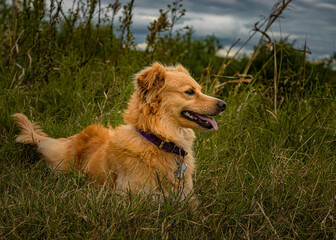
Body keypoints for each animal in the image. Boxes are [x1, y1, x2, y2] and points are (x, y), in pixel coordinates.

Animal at [12, 62, 226, 201]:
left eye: (200, 89)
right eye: (190, 92)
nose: (223, 104)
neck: (159, 140)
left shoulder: (187, 199)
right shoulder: (131, 198)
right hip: (61, 163)